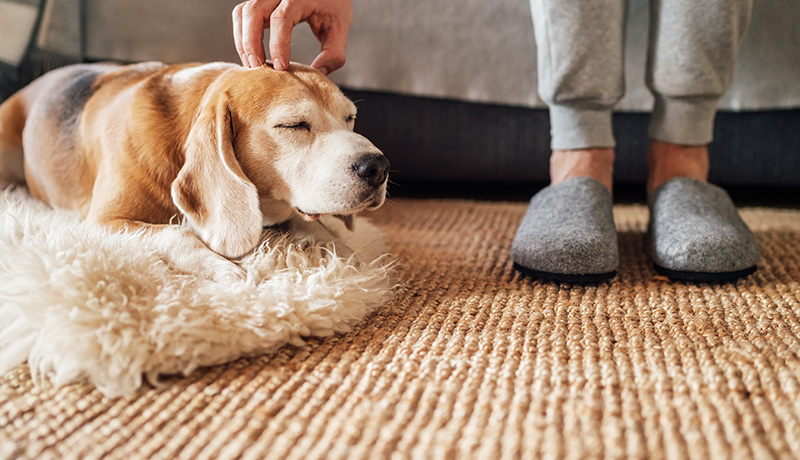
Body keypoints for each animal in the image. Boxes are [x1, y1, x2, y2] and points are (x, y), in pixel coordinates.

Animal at [0, 61, 390, 280]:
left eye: (350, 118)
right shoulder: (105, 221)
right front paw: (221, 268)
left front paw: (342, 252)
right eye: (293, 125)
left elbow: (312, 226)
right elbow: (177, 234)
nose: (378, 167)